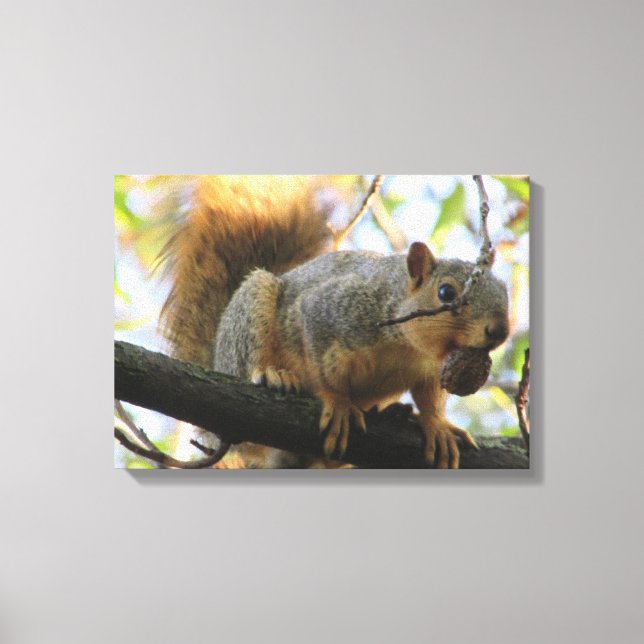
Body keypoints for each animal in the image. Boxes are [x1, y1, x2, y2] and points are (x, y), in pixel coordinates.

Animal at [158, 175, 509, 469]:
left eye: (504, 290)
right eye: (446, 292)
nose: (500, 331)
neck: (410, 347)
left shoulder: (431, 370)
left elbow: (430, 398)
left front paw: (437, 425)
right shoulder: (332, 310)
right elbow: (324, 366)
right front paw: (339, 403)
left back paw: (393, 413)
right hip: (250, 314)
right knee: (251, 361)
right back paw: (273, 375)